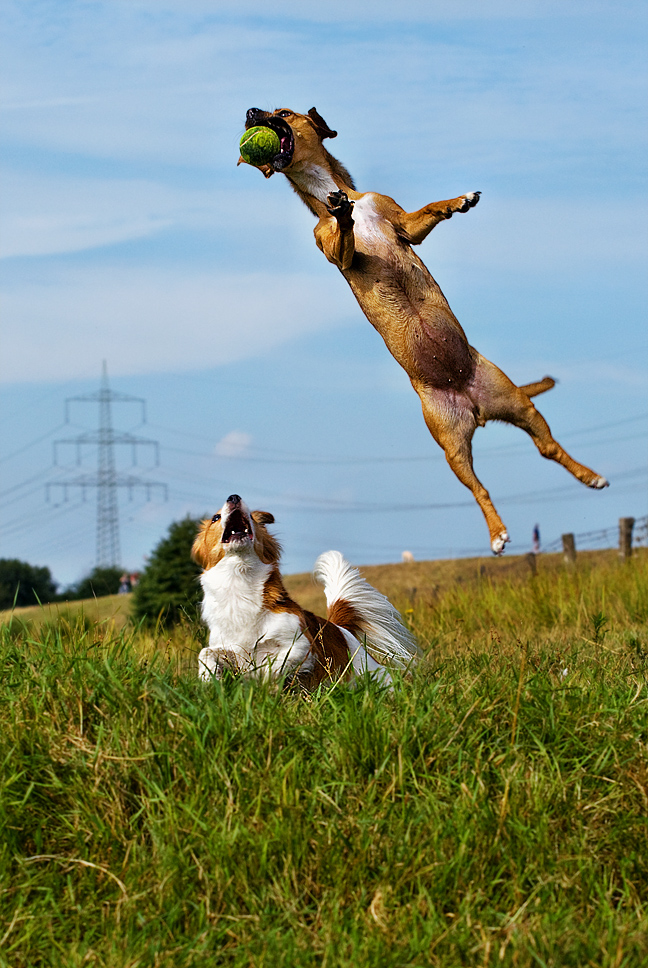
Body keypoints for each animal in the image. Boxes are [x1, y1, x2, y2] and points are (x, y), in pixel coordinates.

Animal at [190, 492, 418, 688]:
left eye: (253, 517)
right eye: (215, 517)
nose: (234, 497)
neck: (239, 580)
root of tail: (340, 628)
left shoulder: (302, 646)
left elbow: (271, 669)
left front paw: (263, 684)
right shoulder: (232, 648)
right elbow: (206, 653)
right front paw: (207, 679)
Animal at [238, 105, 608, 556]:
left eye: (283, 113)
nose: (249, 112)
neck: (329, 190)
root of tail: (476, 407)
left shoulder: (402, 222)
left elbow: (429, 209)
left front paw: (459, 201)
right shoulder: (336, 252)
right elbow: (344, 236)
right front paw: (342, 215)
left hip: (518, 403)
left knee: (549, 448)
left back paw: (589, 475)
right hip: (450, 443)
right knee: (480, 488)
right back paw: (498, 532)